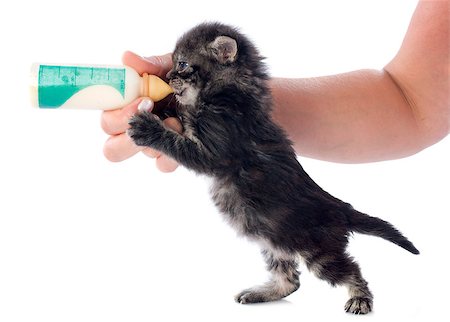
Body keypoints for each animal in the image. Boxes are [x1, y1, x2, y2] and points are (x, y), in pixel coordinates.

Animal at [128, 22, 420, 314]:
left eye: (182, 64)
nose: (167, 76)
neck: (233, 89)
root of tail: (341, 209)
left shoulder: (215, 151)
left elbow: (178, 141)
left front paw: (148, 127)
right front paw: (161, 108)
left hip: (318, 250)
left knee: (351, 269)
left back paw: (360, 298)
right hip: (273, 240)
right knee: (291, 280)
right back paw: (261, 294)